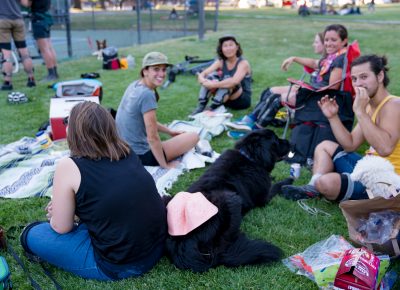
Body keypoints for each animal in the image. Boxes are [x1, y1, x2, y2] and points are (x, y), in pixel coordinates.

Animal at [164, 129, 292, 272]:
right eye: (276, 140)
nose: (290, 142)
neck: (250, 157)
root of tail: (182, 244)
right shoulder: (264, 198)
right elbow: (276, 186)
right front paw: (288, 181)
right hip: (232, 199)